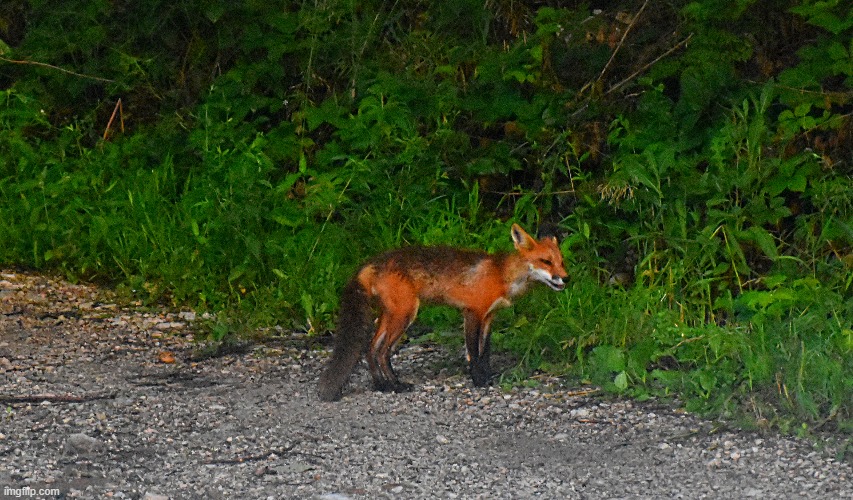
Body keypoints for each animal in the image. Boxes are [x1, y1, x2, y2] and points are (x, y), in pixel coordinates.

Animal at [317, 224, 568, 402]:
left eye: (561, 262)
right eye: (545, 261)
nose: (566, 278)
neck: (501, 275)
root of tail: (372, 262)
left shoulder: (489, 317)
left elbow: (485, 352)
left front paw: (487, 377)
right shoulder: (472, 313)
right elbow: (473, 354)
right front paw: (478, 380)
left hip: (391, 315)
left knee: (370, 350)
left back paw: (382, 386)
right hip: (405, 315)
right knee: (381, 352)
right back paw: (396, 386)